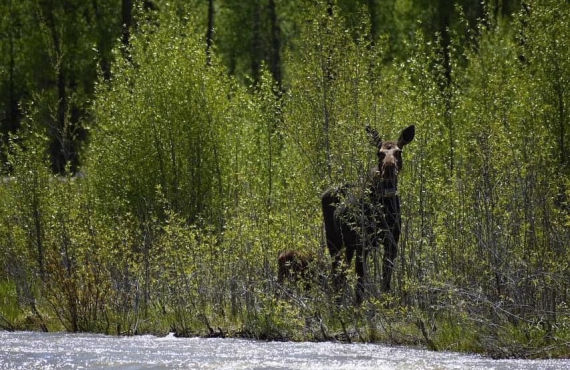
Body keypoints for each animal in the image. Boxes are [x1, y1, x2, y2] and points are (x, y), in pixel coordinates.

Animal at [324, 124, 412, 304]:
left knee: (342, 275)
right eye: (379, 153)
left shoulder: (392, 242)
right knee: (336, 275)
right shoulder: (362, 243)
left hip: (348, 246)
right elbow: (360, 282)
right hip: (334, 242)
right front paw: (359, 308)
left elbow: (386, 281)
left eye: (399, 151)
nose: (388, 169)